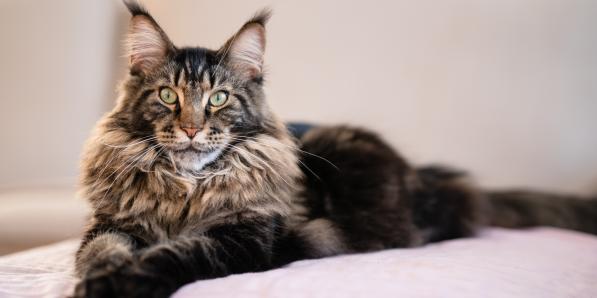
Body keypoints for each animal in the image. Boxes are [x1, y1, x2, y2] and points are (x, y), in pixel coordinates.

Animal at [74, 1, 596, 296]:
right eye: (168, 96)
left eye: (218, 99)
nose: (189, 129)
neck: (185, 187)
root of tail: (426, 175)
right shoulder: (112, 223)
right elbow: (98, 250)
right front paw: (99, 277)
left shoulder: (242, 236)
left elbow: (179, 253)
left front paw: (128, 280)